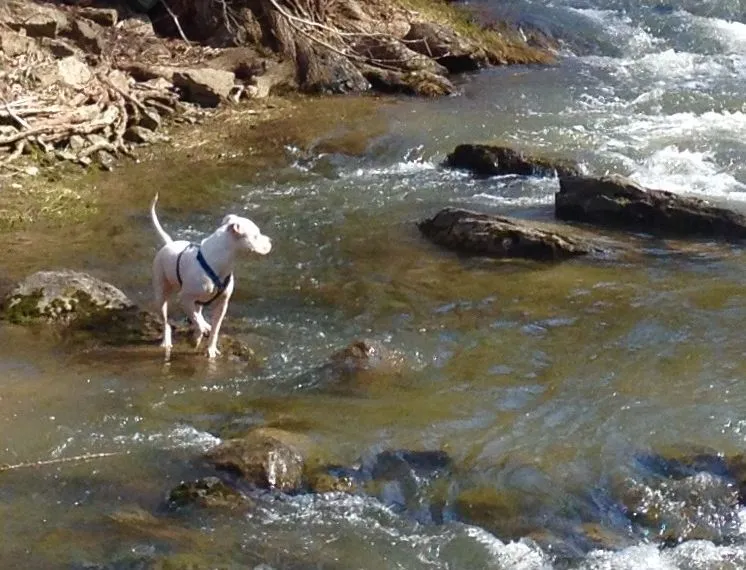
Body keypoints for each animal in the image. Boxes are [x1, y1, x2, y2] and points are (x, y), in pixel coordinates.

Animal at [148, 194, 270, 356]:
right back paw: (167, 341)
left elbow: (215, 330)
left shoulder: (222, 305)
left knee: (197, 312)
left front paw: (211, 349)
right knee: (167, 321)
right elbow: (196, 322)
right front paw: (196, 339)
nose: (271, 240)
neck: (219, 262)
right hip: (161, 294)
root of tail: (168, 244)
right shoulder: (184, 299)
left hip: (196, 300)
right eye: (256, 235)